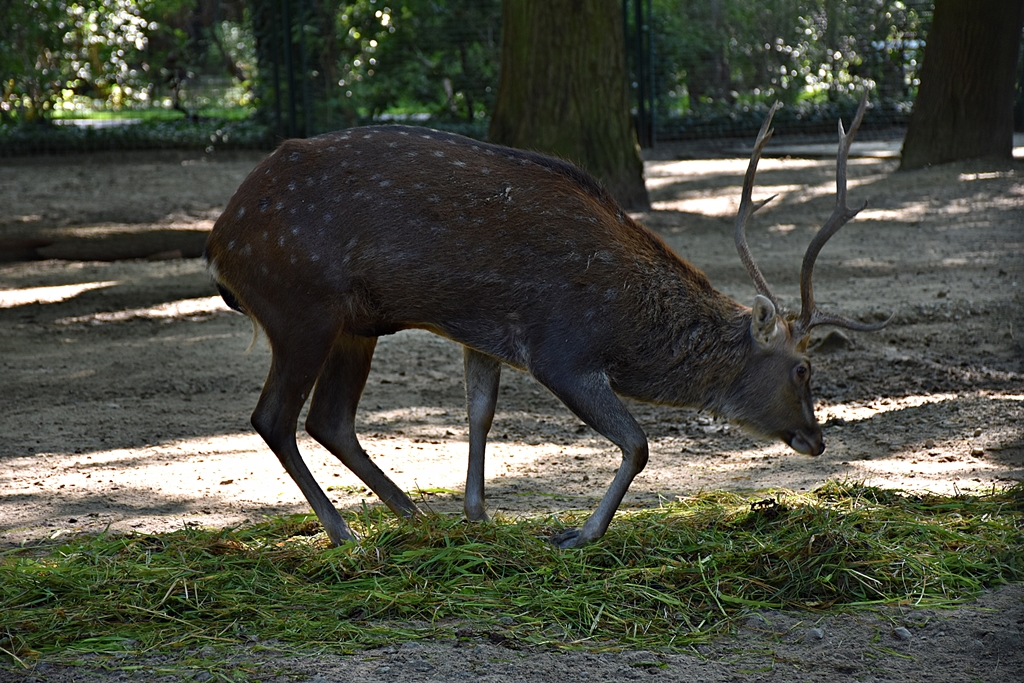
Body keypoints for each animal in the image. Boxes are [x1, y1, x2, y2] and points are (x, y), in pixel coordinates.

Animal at [205, 91, 888, 548]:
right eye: (802, 370)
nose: (816, 438)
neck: (627, 324)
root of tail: (219, 244)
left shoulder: (484, 335)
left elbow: (480, 414)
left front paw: (477, 514)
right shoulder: (562, 350)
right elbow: (638, 443)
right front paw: (580, 535)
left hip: (356, 324)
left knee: (331, 419)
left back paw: (414, 515)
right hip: (300, 307)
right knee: (274, 417)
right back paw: (344, 532)